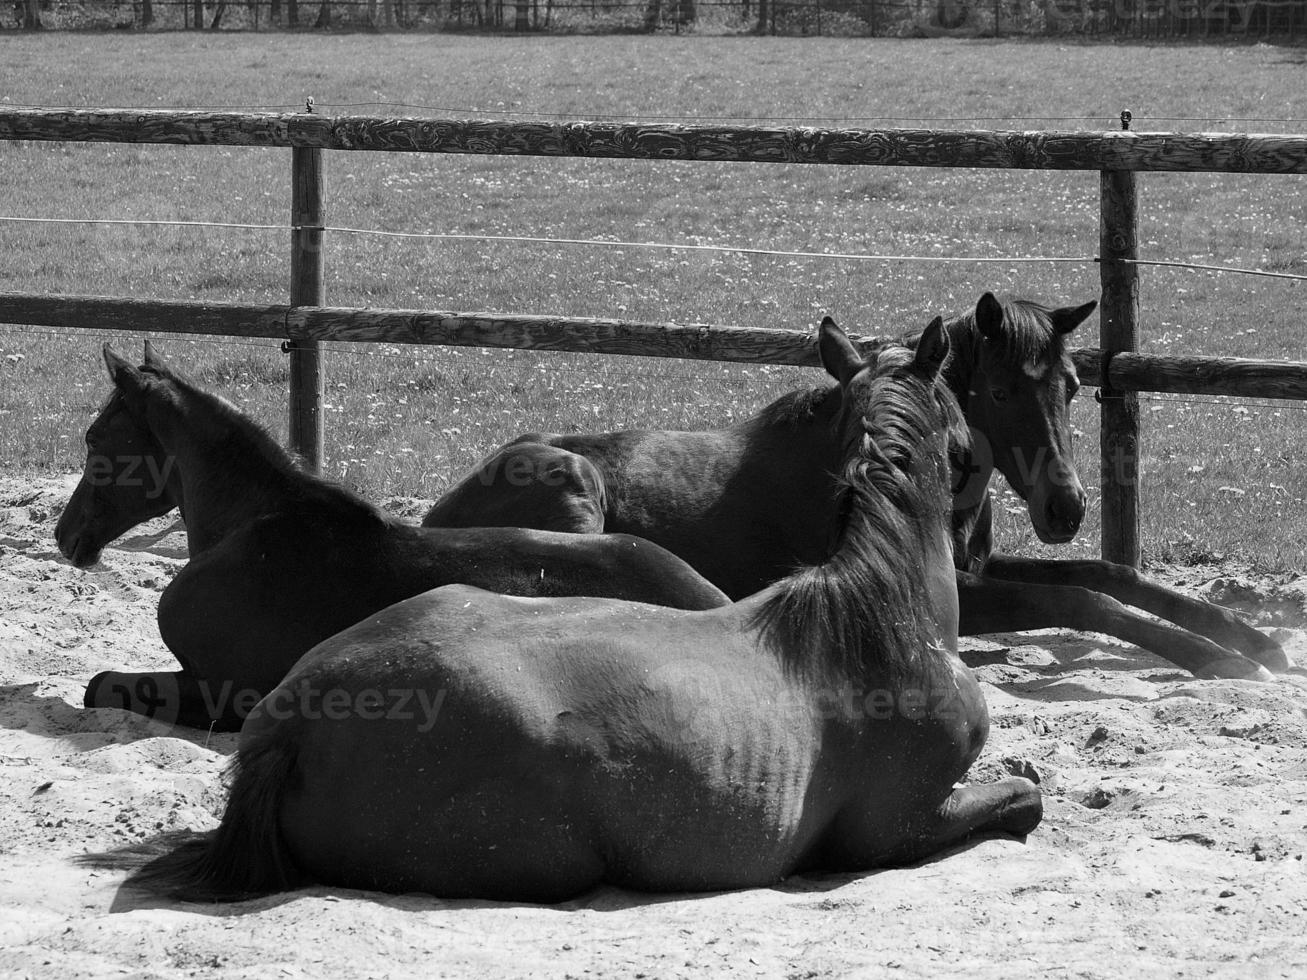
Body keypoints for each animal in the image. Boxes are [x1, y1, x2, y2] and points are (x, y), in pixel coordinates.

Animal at [428, 291, 1286, 684]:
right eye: (1000, 391)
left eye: (1073, 386)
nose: (1065, 507)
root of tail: (438, 511)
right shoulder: (966, 592)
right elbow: (1083, 598)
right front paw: (1217, 658)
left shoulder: (980, 570)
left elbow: (1106, 574)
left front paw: (1249, 637)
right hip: (572, 487)